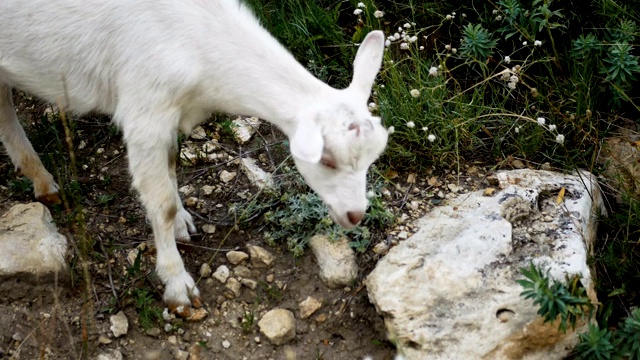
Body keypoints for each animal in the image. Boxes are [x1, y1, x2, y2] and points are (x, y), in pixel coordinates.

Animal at [0, 0, 388, 316]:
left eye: (372, 158)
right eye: (327, 160)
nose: (355, 215)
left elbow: (172, 169)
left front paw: (184, 223)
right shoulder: (144, 113)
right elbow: (161, 204)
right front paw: (177, 287)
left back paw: (40, 179)